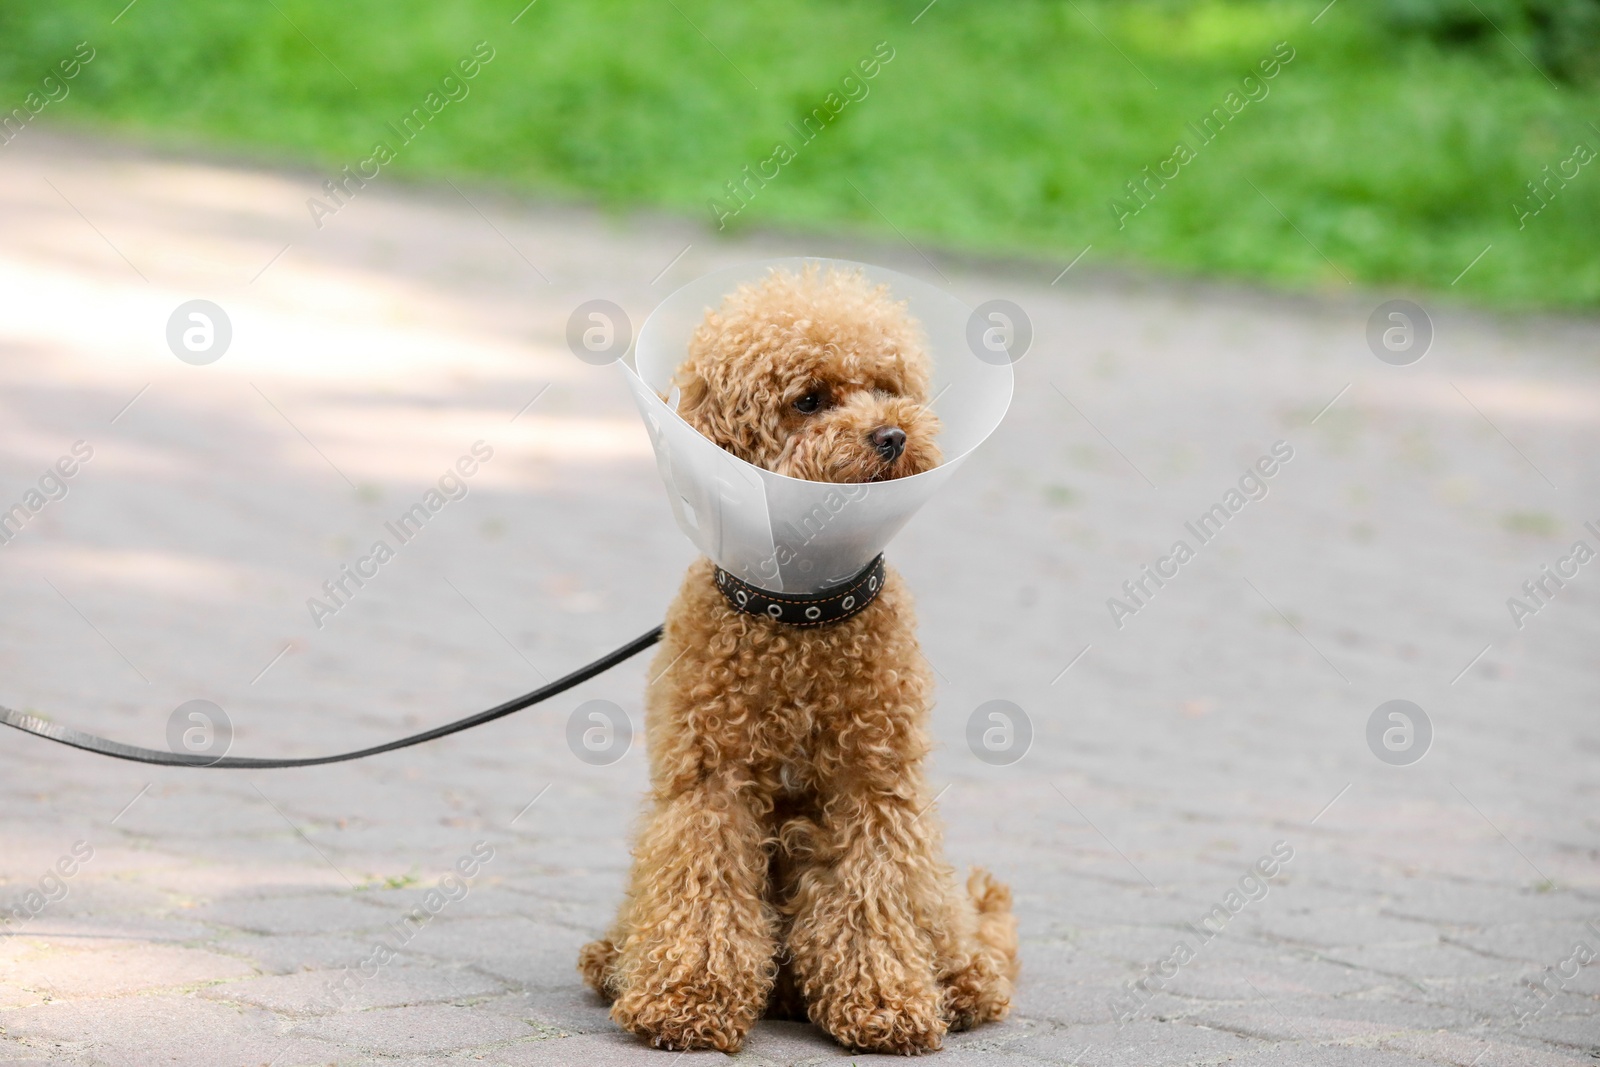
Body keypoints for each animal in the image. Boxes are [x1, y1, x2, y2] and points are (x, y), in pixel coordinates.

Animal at [582, 265, 1017, 1049]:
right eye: (808, 400)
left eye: (886, 384)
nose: (893, 433)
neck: (800, 616)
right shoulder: (709, 783)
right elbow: (701, 886)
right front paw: (686, 997)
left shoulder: (873, 784)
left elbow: (870, 894)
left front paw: (884, 1002)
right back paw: (614, 958)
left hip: (931, 874)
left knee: (947, 921)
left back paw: (964, 980)